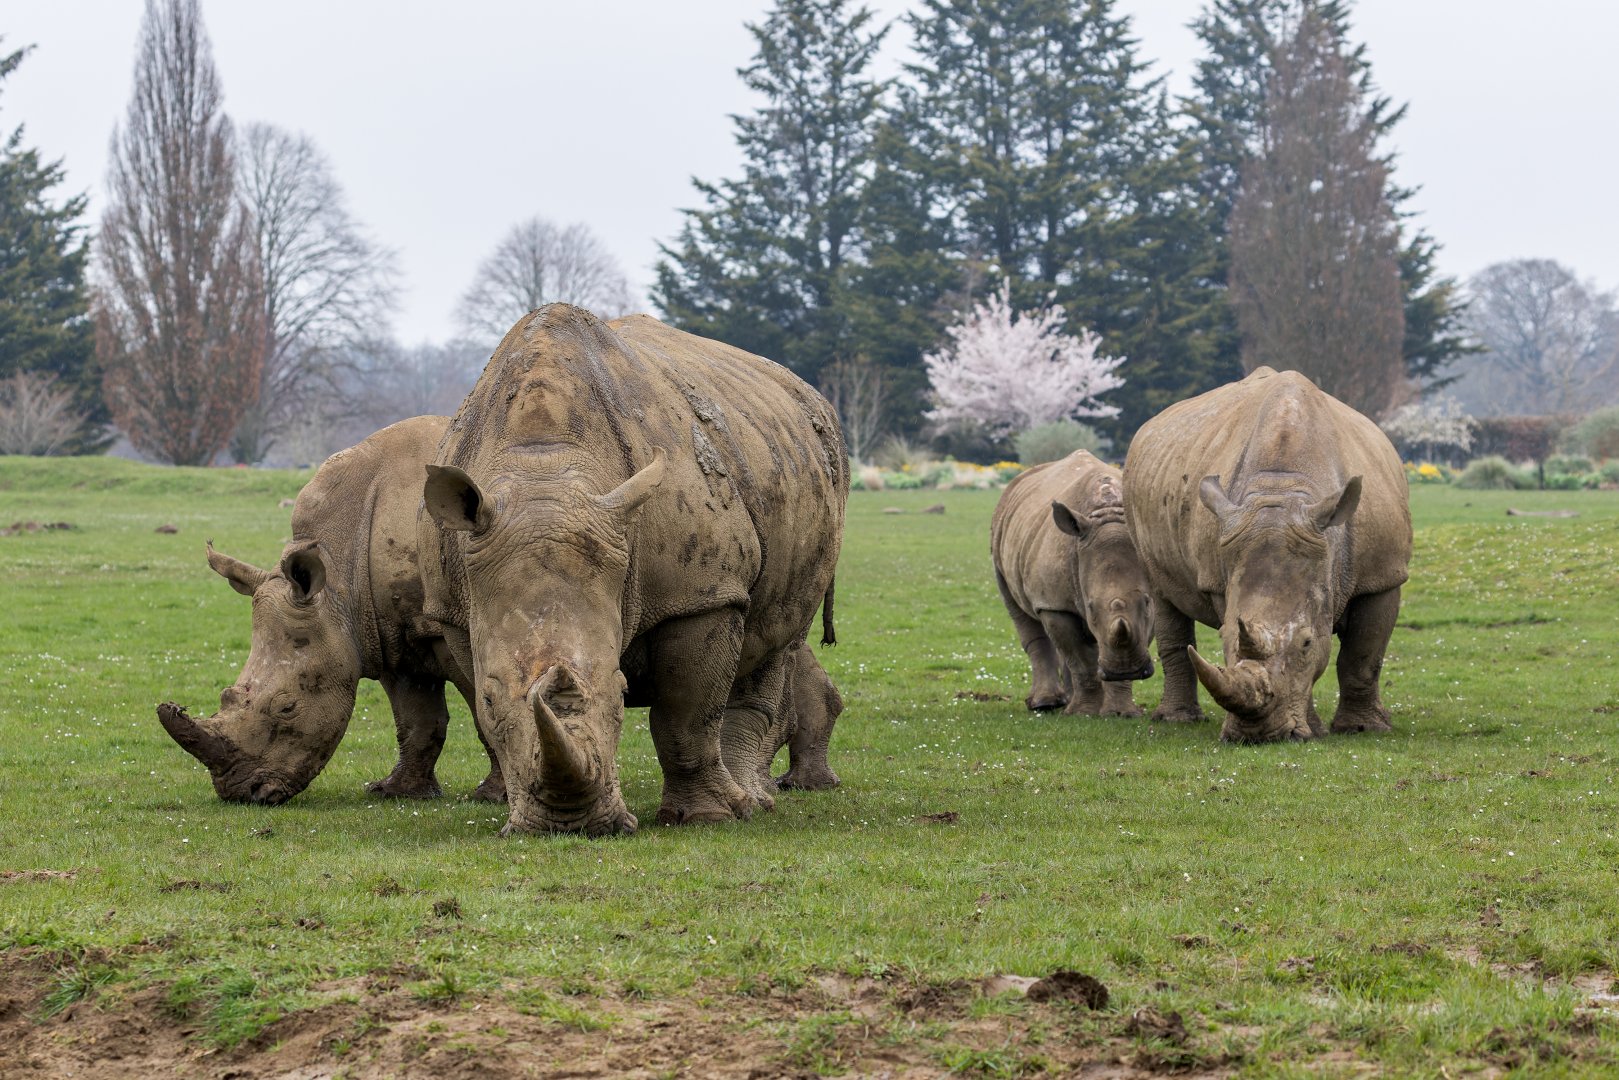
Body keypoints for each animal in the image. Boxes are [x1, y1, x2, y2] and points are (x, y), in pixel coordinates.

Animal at [156, 416, 503, 805]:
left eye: (287, 707)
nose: (243, 794)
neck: (340, 577)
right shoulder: (389, 636)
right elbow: (416, 720)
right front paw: (397, 792)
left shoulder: (450, 625)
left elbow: (481, 705)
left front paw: (492, 795)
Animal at [419, 306, 847, 836]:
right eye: (494, 700)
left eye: (622, 693)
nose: (571, 825)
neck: (544, 465)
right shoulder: (455, 610)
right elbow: (483, 709)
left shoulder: (699, 595)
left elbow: (686, 715)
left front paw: (704, 818)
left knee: (777, 638)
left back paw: (753, 802)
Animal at [990, 450, 1155, 716]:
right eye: (1090, 607)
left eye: (1147, 603)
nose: (1125, 669)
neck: (1109, 512)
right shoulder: (1053, 604)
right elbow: (1079, 658)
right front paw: (1084, 713)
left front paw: (1121, 712)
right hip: (999, 540)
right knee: (1022, 614)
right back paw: (1046, 704)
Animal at [1122, 367, 1412, 742]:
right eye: (1224, 638)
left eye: (1306, 642)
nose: (1257, 735)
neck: (1282, 490)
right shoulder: (1221, 574)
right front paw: (1312, 729)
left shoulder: (1383, 574)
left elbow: (1363, 655)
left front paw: (1362, 728)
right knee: (1162, 592)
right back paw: (1176, 720)